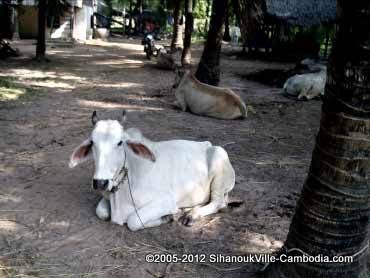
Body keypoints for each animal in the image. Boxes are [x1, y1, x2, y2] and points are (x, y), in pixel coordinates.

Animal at [69, 110, 236, 230]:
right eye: (92, 142)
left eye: (120, 142)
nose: (100, 183)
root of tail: (207, 144)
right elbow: (101, 212)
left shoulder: (166, 201)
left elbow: (133, 221)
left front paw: (167, 217)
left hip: (219, 162)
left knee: (218, 203)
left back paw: (191, 215)